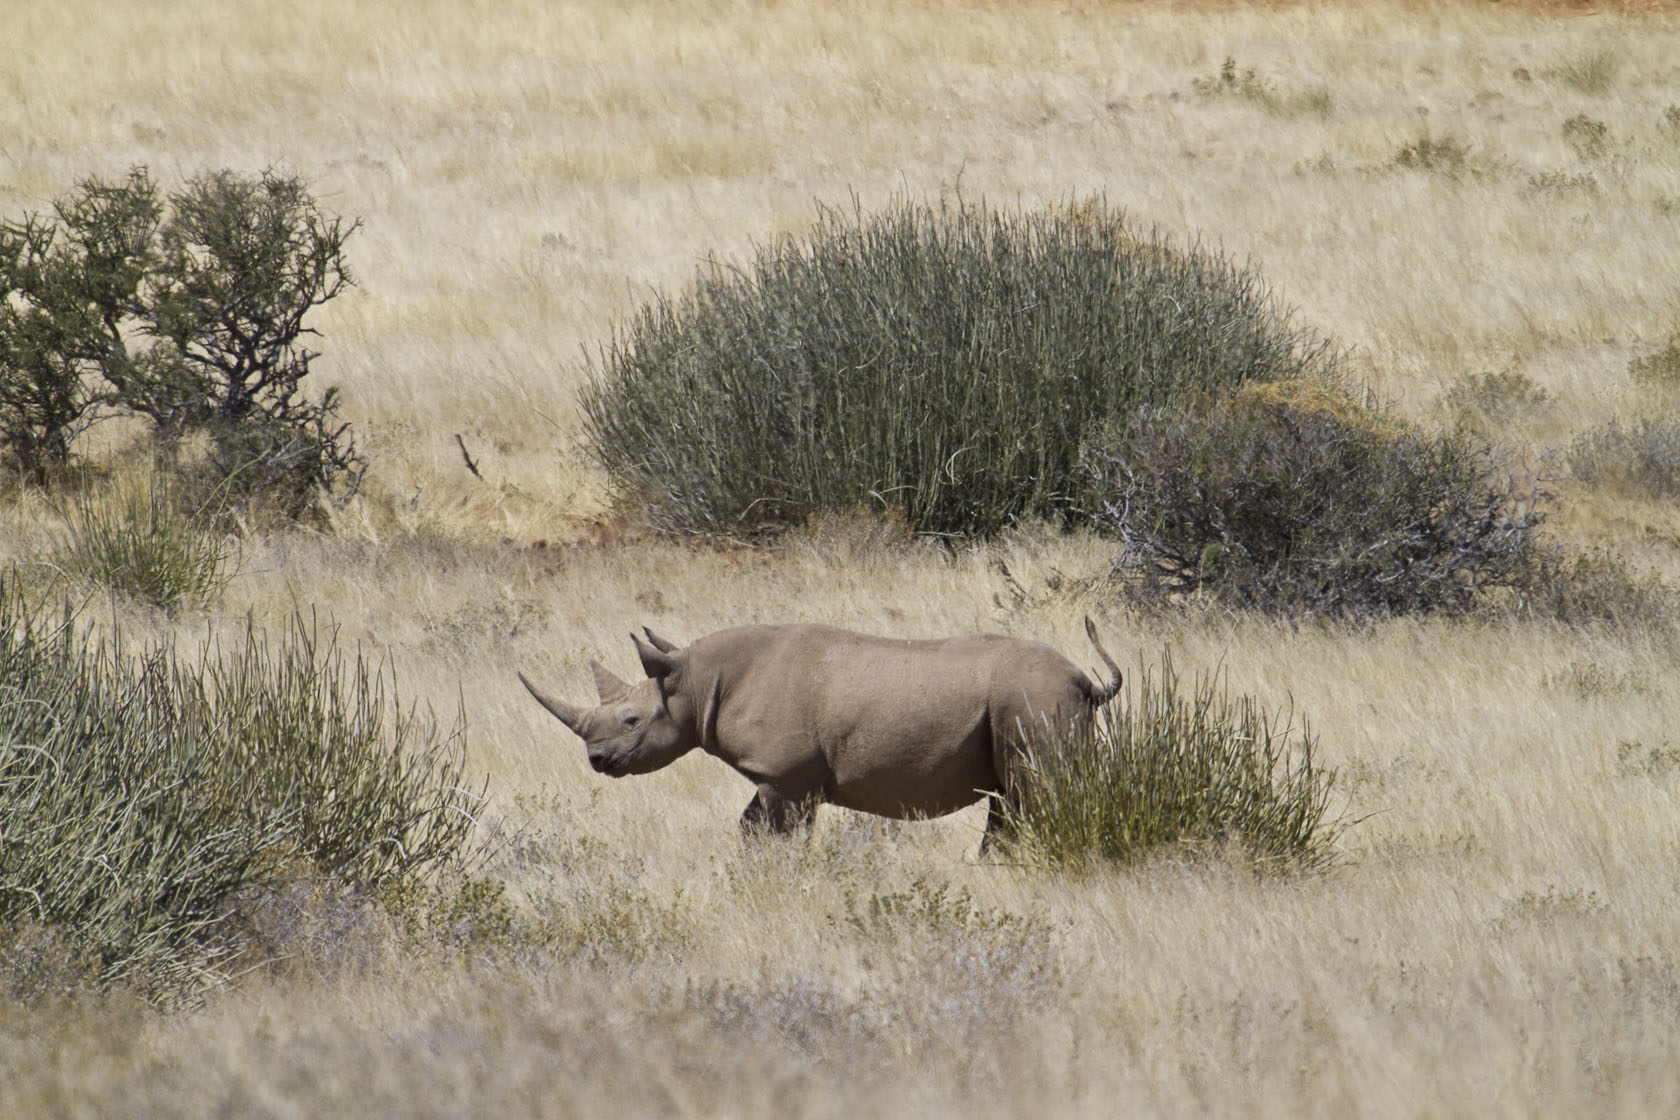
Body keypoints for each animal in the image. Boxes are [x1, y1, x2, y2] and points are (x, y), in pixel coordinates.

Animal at [510, 617, 1115, 846]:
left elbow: (783, 837)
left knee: (1035, 790)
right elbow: (750, 829)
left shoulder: (787, 776)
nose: (596, 760)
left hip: (1033, 697)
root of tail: (1083, 679)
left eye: (631, 722)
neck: (696, 681)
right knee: (1012, 796)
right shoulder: (779, 777)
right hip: (1031, 698)